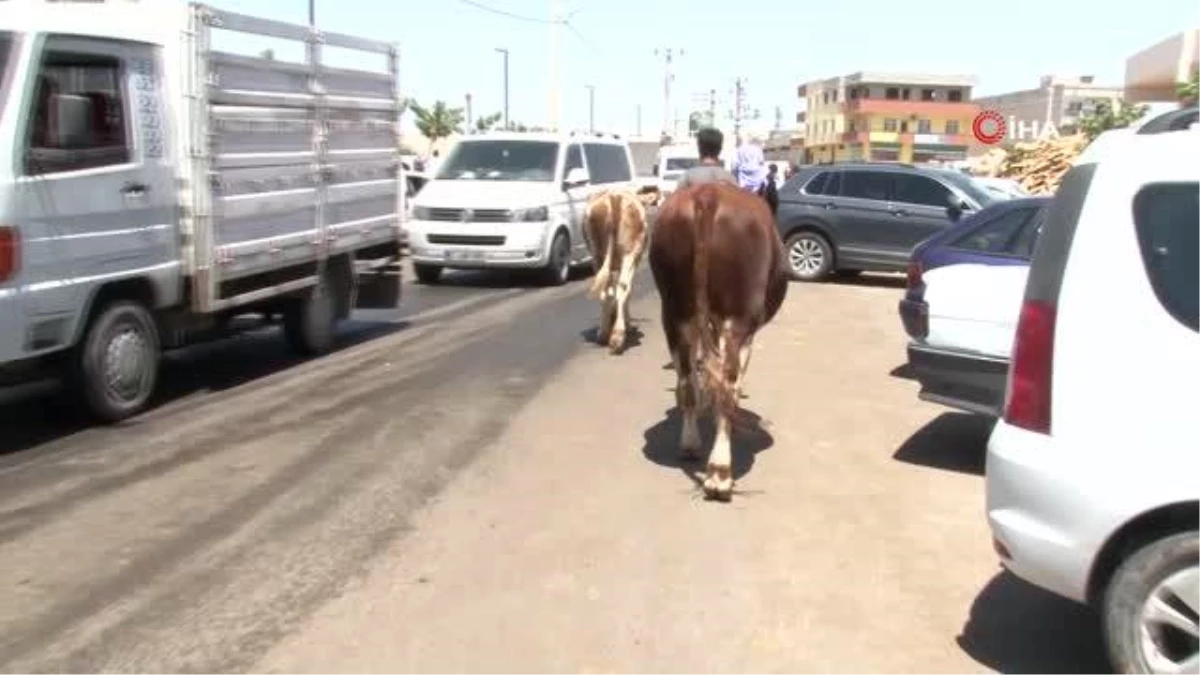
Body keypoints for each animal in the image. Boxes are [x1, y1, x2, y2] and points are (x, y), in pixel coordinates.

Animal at [583, 184, 657, 353]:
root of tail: (614, 197)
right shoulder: (635, 259)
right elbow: (626, 291)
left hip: (598, 254)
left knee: (607, 289)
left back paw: (604, 333)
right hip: (630, 253)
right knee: (623, 286)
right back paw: (618, 335)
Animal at [648, 181, 787, 497]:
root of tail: (708, 194)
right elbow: (733, 384)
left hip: (675, 311)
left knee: (687, 381)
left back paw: (690, 445)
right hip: (738, 318)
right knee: (726, 386)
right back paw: (720, 472)